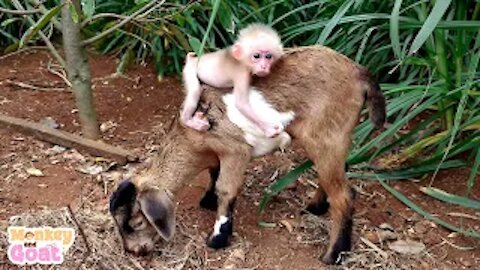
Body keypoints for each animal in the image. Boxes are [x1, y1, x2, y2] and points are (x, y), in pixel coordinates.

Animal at [109, 46, 386, 264]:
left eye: (136, 223)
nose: (134, 251)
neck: (193, 133)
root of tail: (360, 72)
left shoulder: (236, 150)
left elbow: (226, 188)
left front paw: (218, 238)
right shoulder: (218, 153)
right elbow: (214, 174)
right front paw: (207, 201)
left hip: (327, 136)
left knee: (344, 195)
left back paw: (333, 254)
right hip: (333, 141)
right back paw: (314, 208)